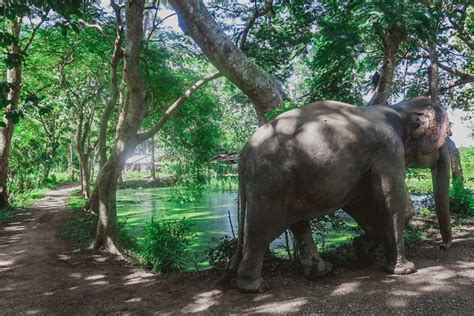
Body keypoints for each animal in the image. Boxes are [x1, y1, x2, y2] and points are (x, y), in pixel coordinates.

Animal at [224, 95, 450, 292]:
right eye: (449, 133)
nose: (443, 246)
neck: (398, 109)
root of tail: (243, 154)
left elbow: (363, 202)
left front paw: (361, 251)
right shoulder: (388, 149)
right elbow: (390, 200)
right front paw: (405, 270)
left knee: (297, 224)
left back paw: (322, 271)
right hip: (271, 184)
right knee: (260, 231)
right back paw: (254, 287)